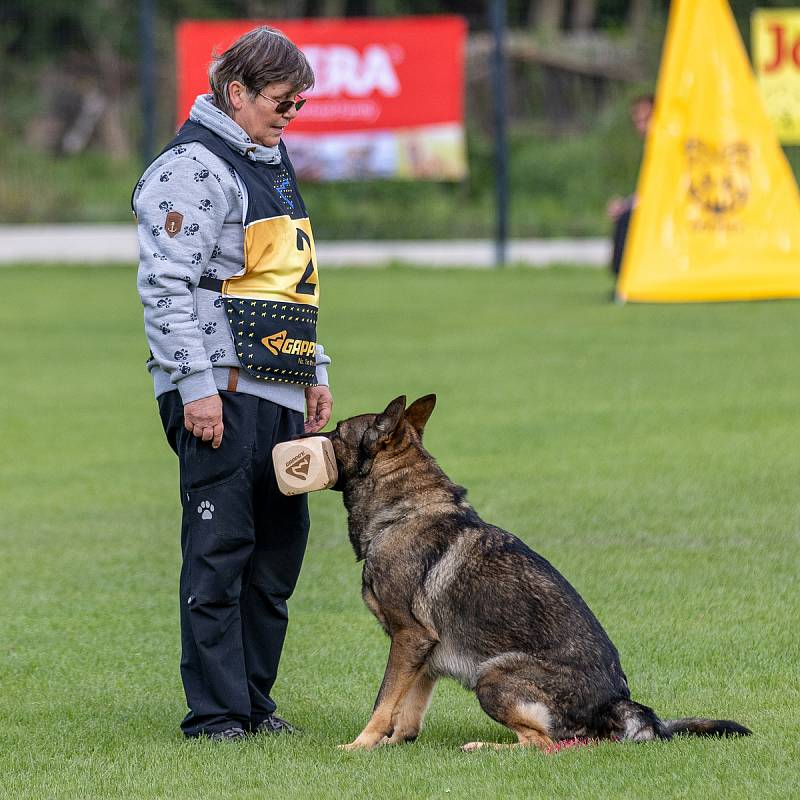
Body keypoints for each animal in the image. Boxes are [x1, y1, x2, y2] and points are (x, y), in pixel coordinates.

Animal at [318, 396, 752, 752]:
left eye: (337, 431)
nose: (310, 431)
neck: (404, 512)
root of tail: (617, 702)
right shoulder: (423, 651)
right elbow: (406, 714)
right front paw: (392, 743)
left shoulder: (409, 638)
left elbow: (383, 702)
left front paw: (360, 745)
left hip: (491, 675)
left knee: (541, 742)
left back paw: (485, 748)